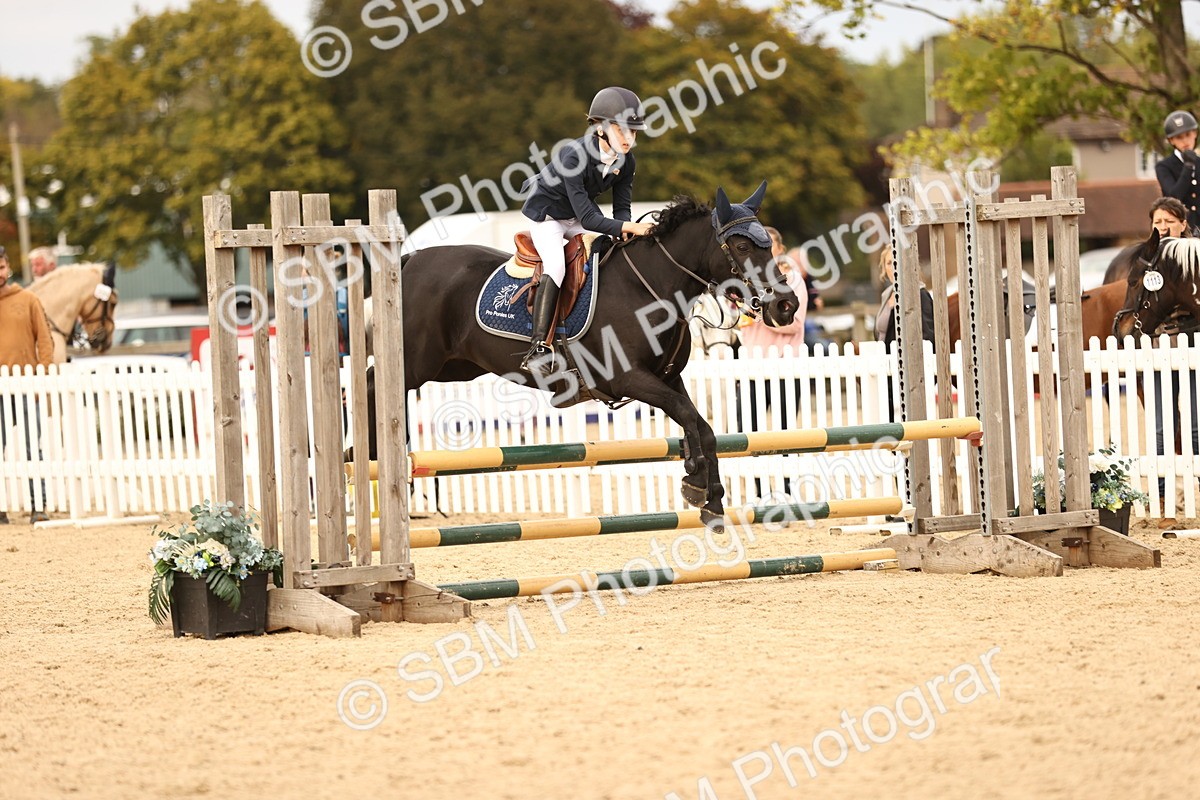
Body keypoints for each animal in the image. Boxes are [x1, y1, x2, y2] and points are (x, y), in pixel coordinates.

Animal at [361, 184, 800, 525]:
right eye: (741, 245)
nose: (787, 306)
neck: (650, 286)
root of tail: (409, 260)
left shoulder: (667, 377)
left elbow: (701, 426)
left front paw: (709, 498)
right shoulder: (628, 378)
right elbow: (687, 415)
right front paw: (695, 481)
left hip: (455, 367)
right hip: (415, 363)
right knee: (371, 385)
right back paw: (365, 458)